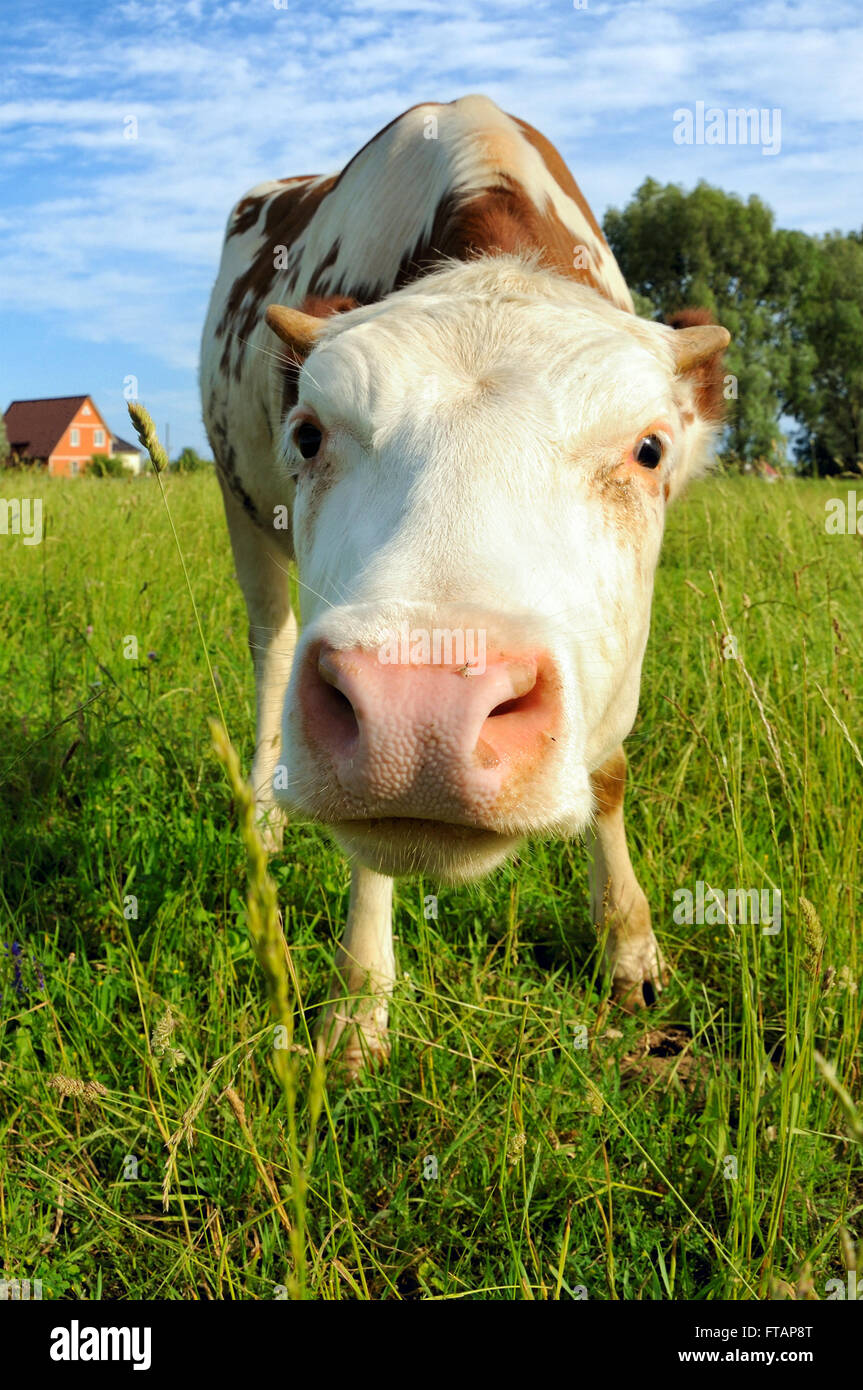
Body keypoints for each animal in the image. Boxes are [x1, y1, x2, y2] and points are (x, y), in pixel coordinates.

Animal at [201, 95, 729, 1074]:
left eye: (649, 450)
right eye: (308, 433)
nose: (422, 715)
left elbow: (608, 773)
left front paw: (628, 946)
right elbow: (370, 851)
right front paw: (358, 1002)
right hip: (238, 507)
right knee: (271, 646)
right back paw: (264, 817)